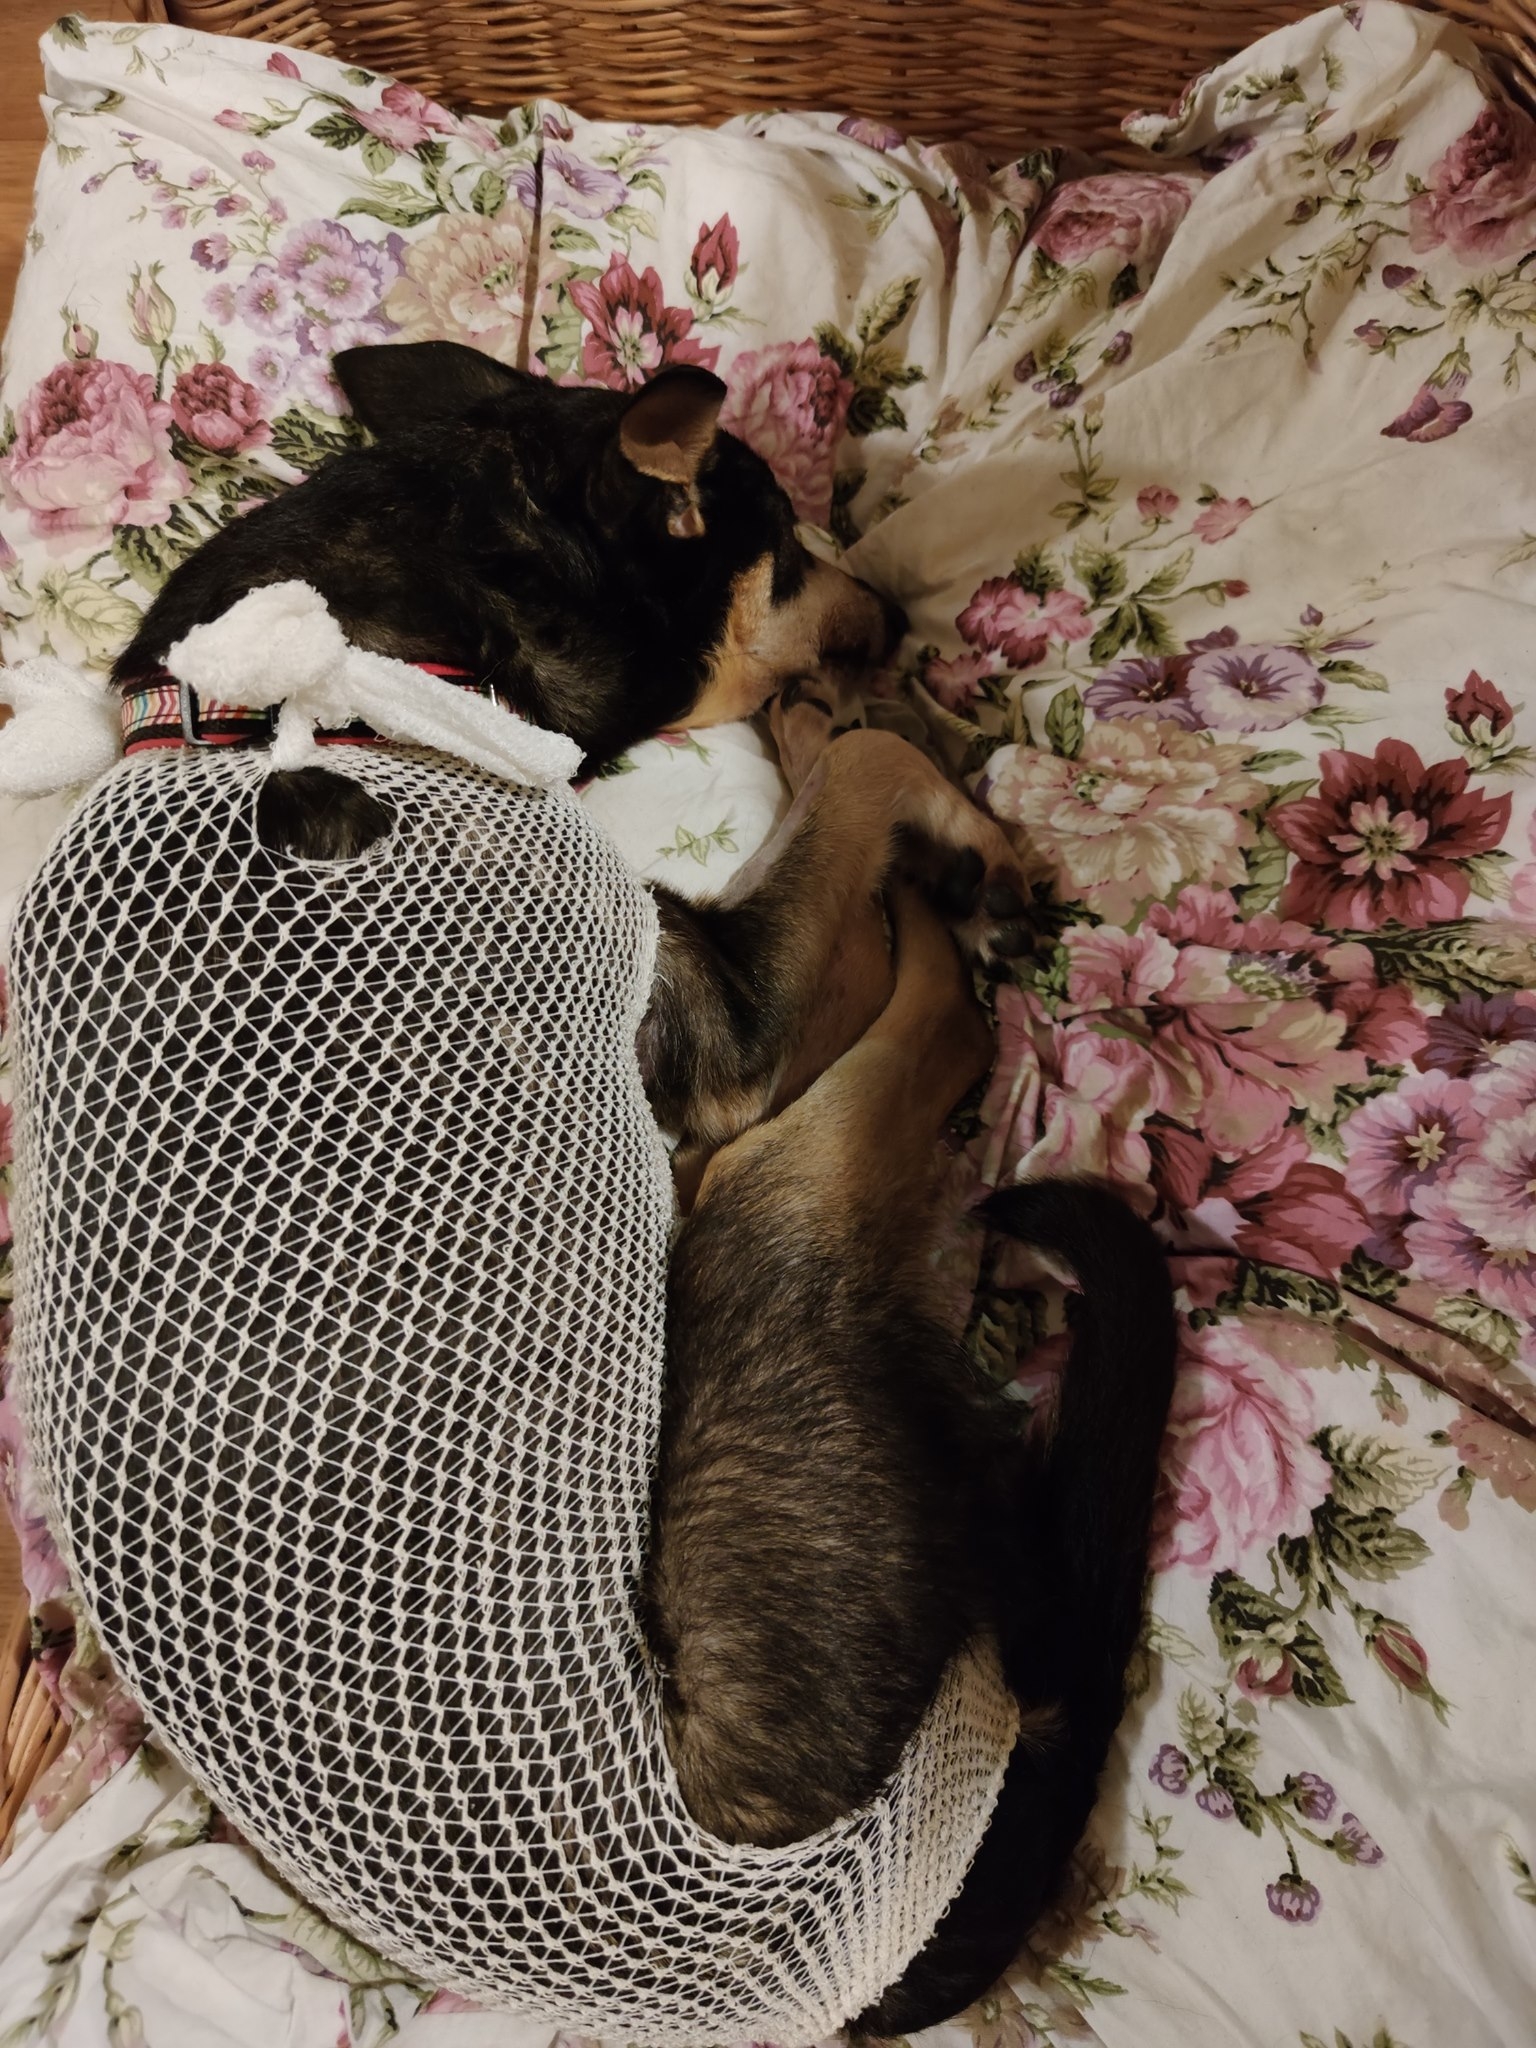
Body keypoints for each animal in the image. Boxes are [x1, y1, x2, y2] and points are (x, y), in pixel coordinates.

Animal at [103, 340, 1178, 2031]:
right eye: (783, 548)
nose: (895, 620)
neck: (306, 690)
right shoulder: (726, 1031)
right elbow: (868, 774)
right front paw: (954, 818)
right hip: (768, 1190)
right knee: (928, 1012)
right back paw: (947, 887)